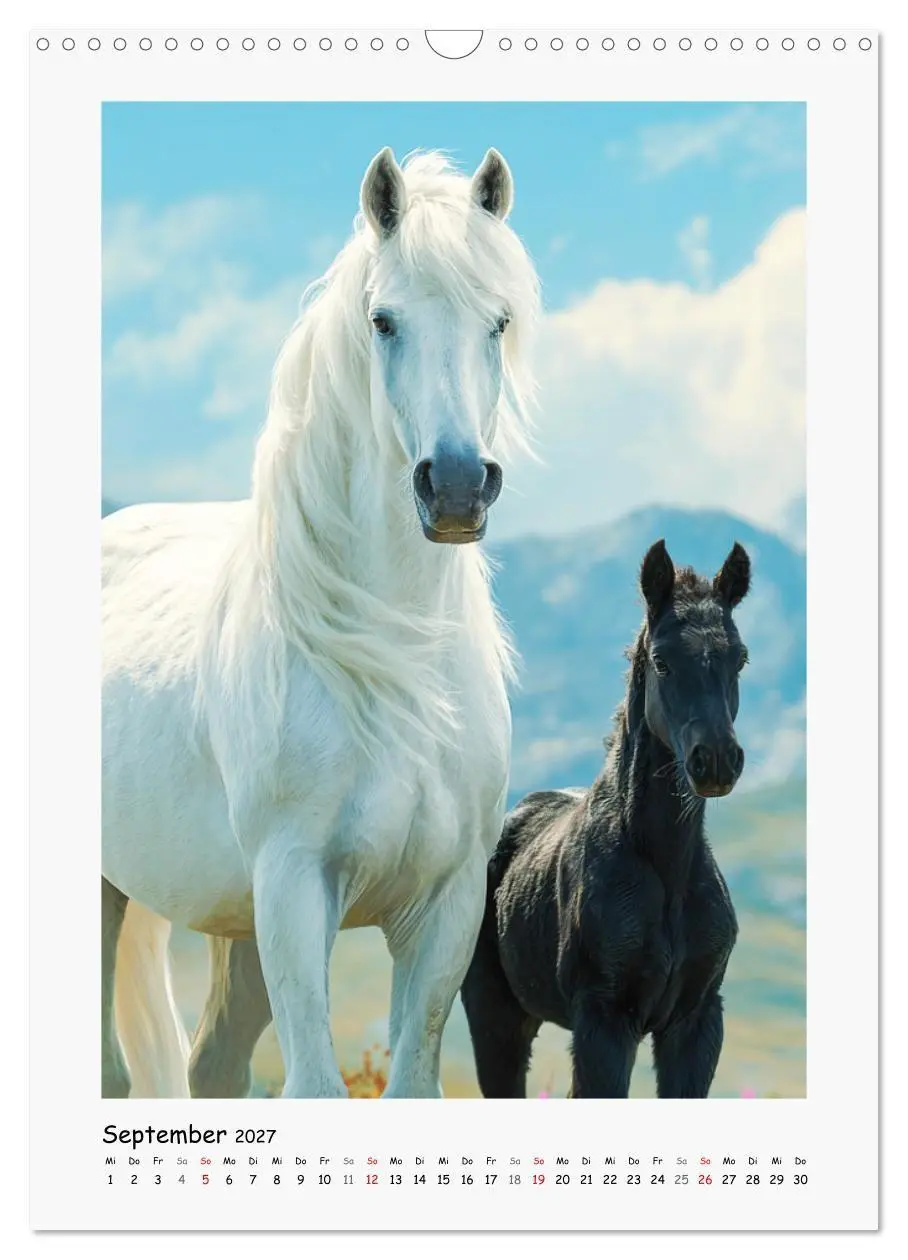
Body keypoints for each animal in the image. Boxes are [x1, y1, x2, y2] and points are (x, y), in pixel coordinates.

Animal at [101, 147, 540, 1099]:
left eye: (498, 321)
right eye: (383, 321)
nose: (457, 486)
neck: (393, 656)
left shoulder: (445, 907)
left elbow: (412, 1080)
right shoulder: (295, 890)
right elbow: (312, 1083)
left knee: (212, 1066)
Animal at [460, 539, 751, 1098]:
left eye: (740, 657)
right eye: (661, 661)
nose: (716, 761)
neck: (666, 869)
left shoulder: (697, 1023)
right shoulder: (605, 1021)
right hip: (495, 1016)